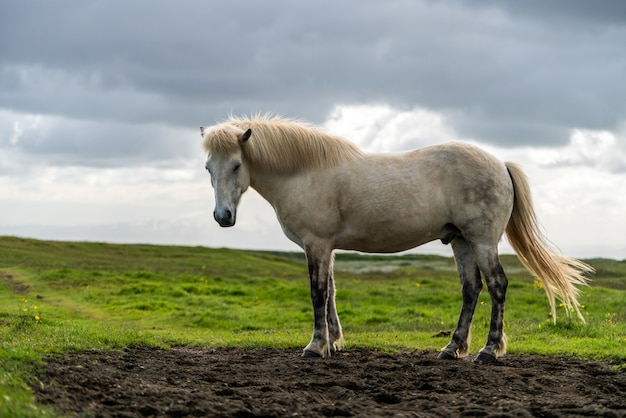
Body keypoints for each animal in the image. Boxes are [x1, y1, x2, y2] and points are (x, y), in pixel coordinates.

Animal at [200, 114, 588, 362]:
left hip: (481, 241)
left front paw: (315, 346)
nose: (223, 217)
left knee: (497, 285)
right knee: (471, 289)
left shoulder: (317, 245)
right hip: (461, 242)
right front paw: (334, 343)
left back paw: (488, 351)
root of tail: (500, 164)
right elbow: (331, 293)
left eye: (236, 165)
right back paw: (452, 349)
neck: (305, 173)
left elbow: (318, 293)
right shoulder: (327, 248)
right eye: (208, 168)